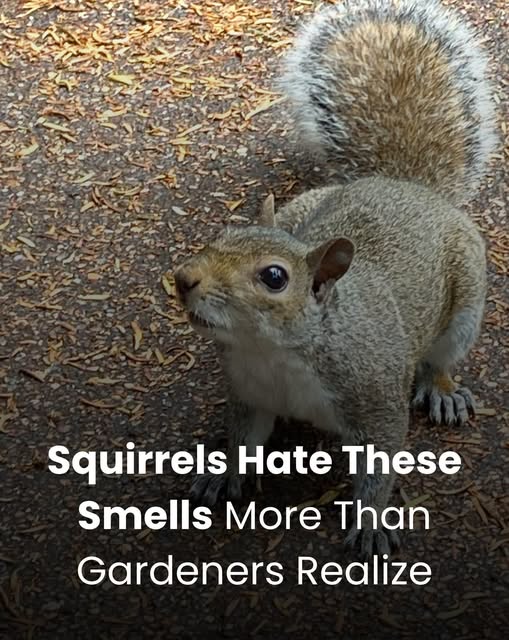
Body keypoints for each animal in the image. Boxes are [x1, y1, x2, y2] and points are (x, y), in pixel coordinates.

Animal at [173, 0, 497, 556]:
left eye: (274, 277)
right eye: (224, 232)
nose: (183, 279)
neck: (276, 354)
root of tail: (403, 186)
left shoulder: (375, 398)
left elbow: (381, 463)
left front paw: (370, 521)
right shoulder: (249, 393)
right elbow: (242, 438)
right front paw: (223, 473)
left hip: (467, 302)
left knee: (441, 357)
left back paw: (442, 388)